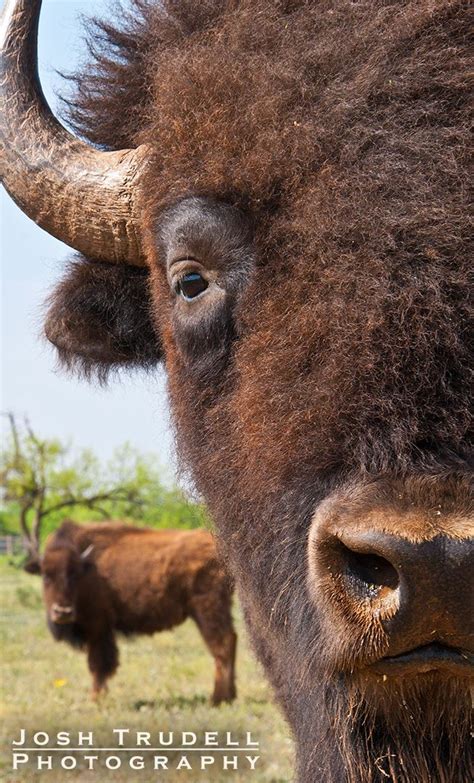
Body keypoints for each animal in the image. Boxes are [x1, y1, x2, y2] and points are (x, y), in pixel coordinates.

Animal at [25, 520, 236, 704]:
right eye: (46, 575)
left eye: (74, 574)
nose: (63, 612)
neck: (88, 569)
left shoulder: (98, 627)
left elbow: (99, 663)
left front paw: (96, 698)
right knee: (230, 640)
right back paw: (230, 696)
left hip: (207, 609)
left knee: (222, 644)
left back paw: (217, 699)